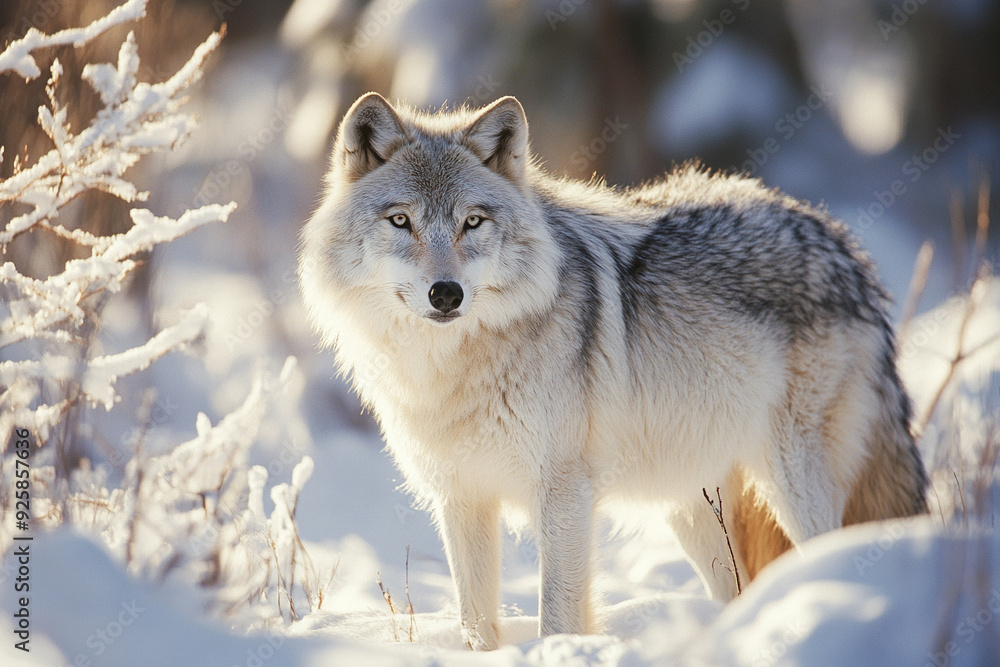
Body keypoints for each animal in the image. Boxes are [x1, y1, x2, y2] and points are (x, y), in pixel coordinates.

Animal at [298, 93, 928, 650]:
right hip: (696, 509)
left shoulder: (564, 494)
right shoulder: (461, 497)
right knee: (742, 590)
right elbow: (475, 623)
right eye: (401, 221)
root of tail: (842, 245)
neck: (452, 367)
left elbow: (557, 613)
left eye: (472, 222)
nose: (446, 294)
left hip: (789, 479)